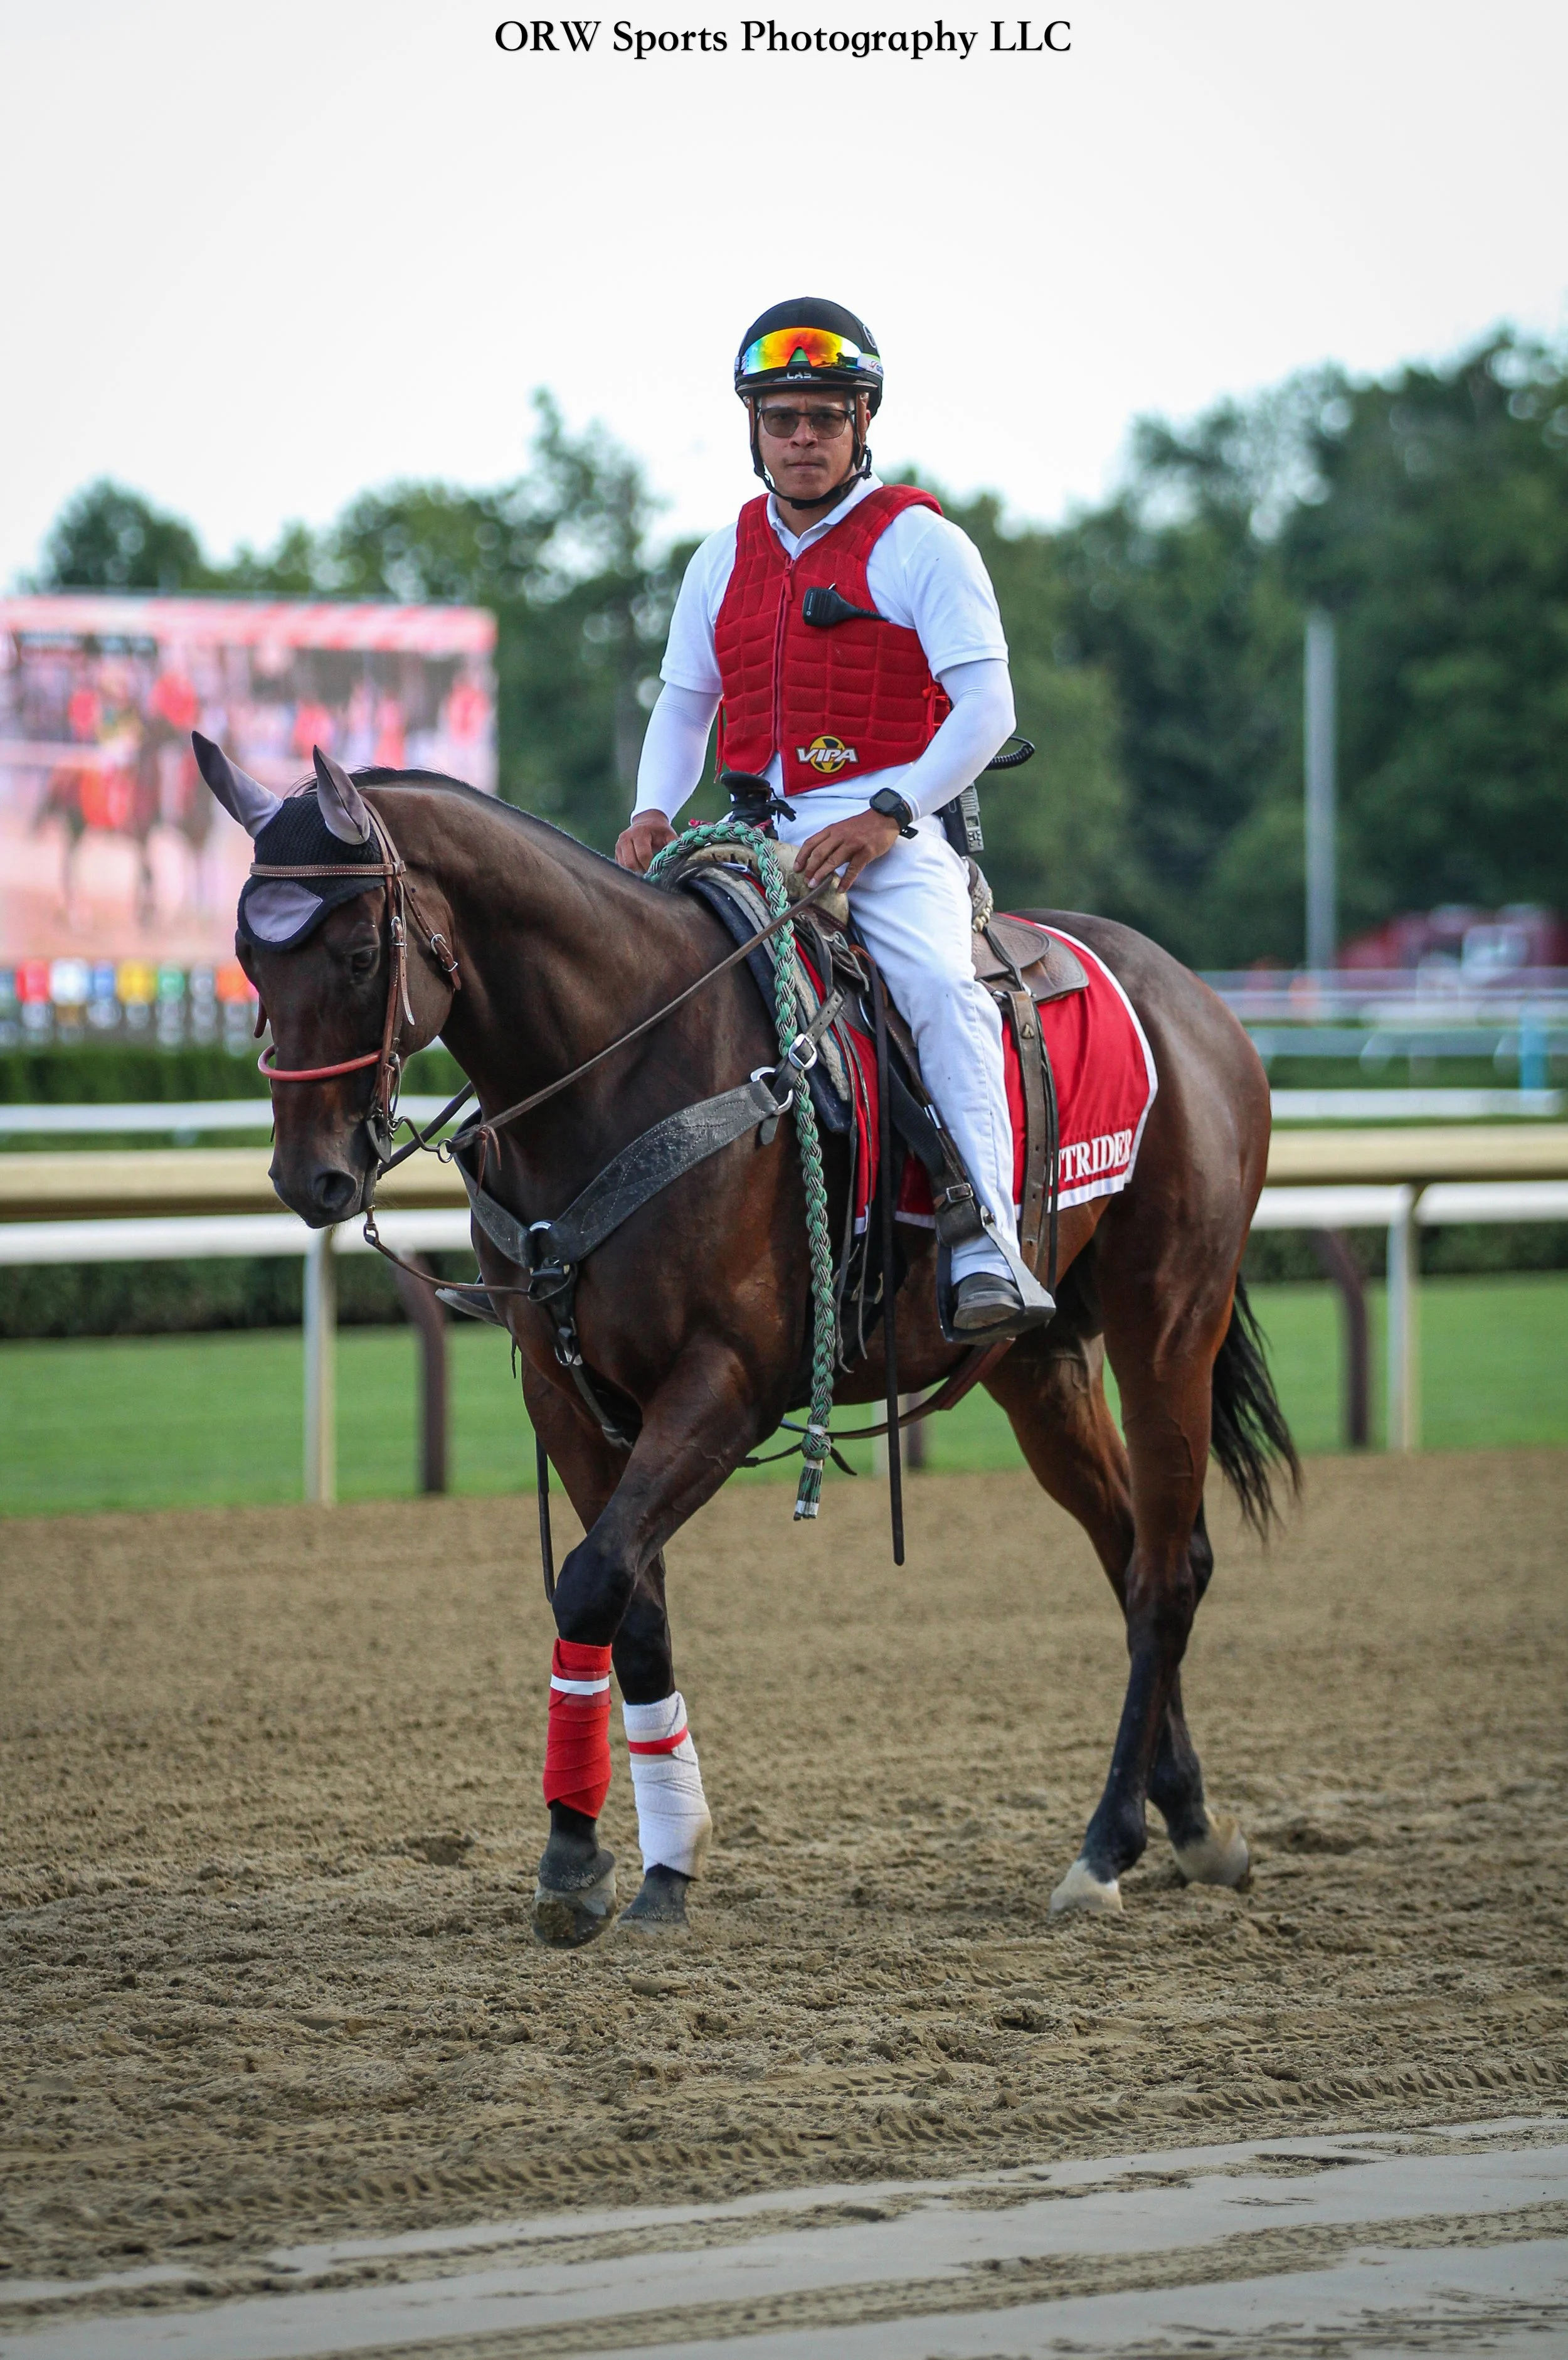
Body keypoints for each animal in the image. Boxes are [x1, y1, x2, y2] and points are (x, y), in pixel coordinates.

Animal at [199, 737, 1297, 1944]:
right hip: (1037, 1366)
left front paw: (607, 1857)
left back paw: (1105, 1846)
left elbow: (594, 1578)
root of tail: (1195, 1002)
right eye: (248, 954)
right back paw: (1187, 1819)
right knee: (1133, 1547)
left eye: (357, 954)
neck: (622, 1068)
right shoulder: (568, 1396)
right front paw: (622, 1854)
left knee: (1165, 1570)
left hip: (1168, 1323)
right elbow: (630, 1603)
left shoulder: (726, 1384)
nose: (309, 1176)